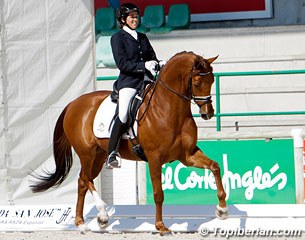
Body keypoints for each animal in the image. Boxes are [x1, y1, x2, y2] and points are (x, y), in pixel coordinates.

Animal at [30, 51, 226, 234]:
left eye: (212, 80)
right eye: (197, 82)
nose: (208, 113)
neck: (169, 109)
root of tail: (73, 103)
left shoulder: (187, 155)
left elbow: (215, 166)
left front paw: (222, 210)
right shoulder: (154, 158)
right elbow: (158, 193)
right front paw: (161, 226)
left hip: (99, 156)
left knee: (82, 181)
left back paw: (83, 224)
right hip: (86, 153)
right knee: (85, 179)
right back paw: (101, 216)